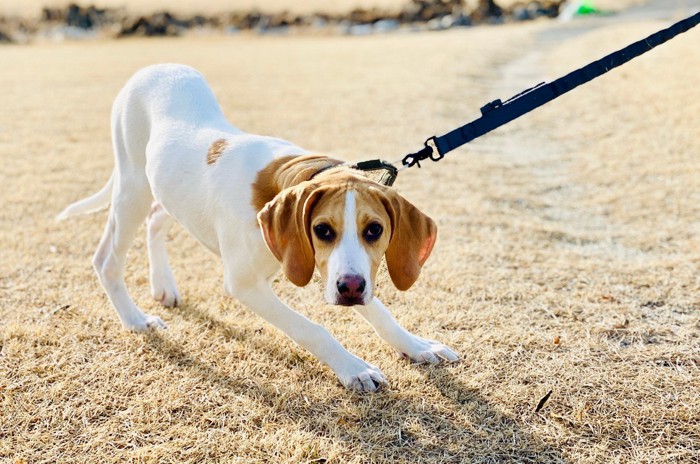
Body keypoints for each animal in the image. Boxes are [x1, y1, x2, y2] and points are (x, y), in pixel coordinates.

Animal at [57, 64, 456, 392]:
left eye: (374, 230)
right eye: (323, 230)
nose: (351, 289)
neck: (285, 178)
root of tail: (150, 69)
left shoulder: (327, 267)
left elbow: (381, 312)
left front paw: (416, 346)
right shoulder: (247, 284)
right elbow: (313, 329)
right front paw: (353, 368)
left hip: (166, 190)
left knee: (156, 219)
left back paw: (163, 287)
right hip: (133, 187)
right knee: (107, 259)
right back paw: (136, 320)